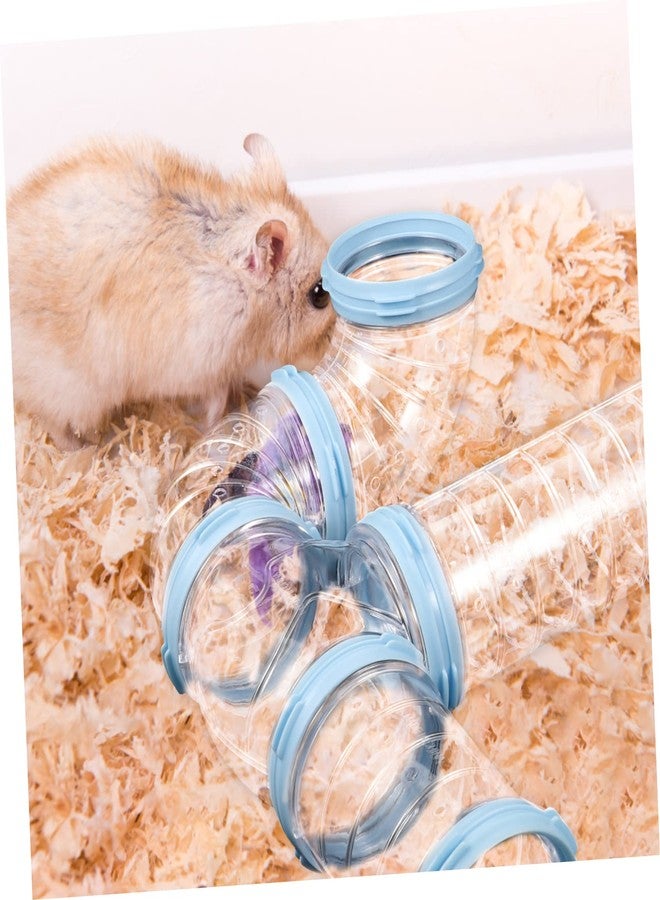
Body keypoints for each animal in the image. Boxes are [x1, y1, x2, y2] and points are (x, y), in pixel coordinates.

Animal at [6, 133, 335, 448]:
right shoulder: (201, 367)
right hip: (72, 394)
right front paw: (210, 426)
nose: (326, 351)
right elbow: (216, 397)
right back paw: (85, 449)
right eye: (319, 294)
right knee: (54, 425)